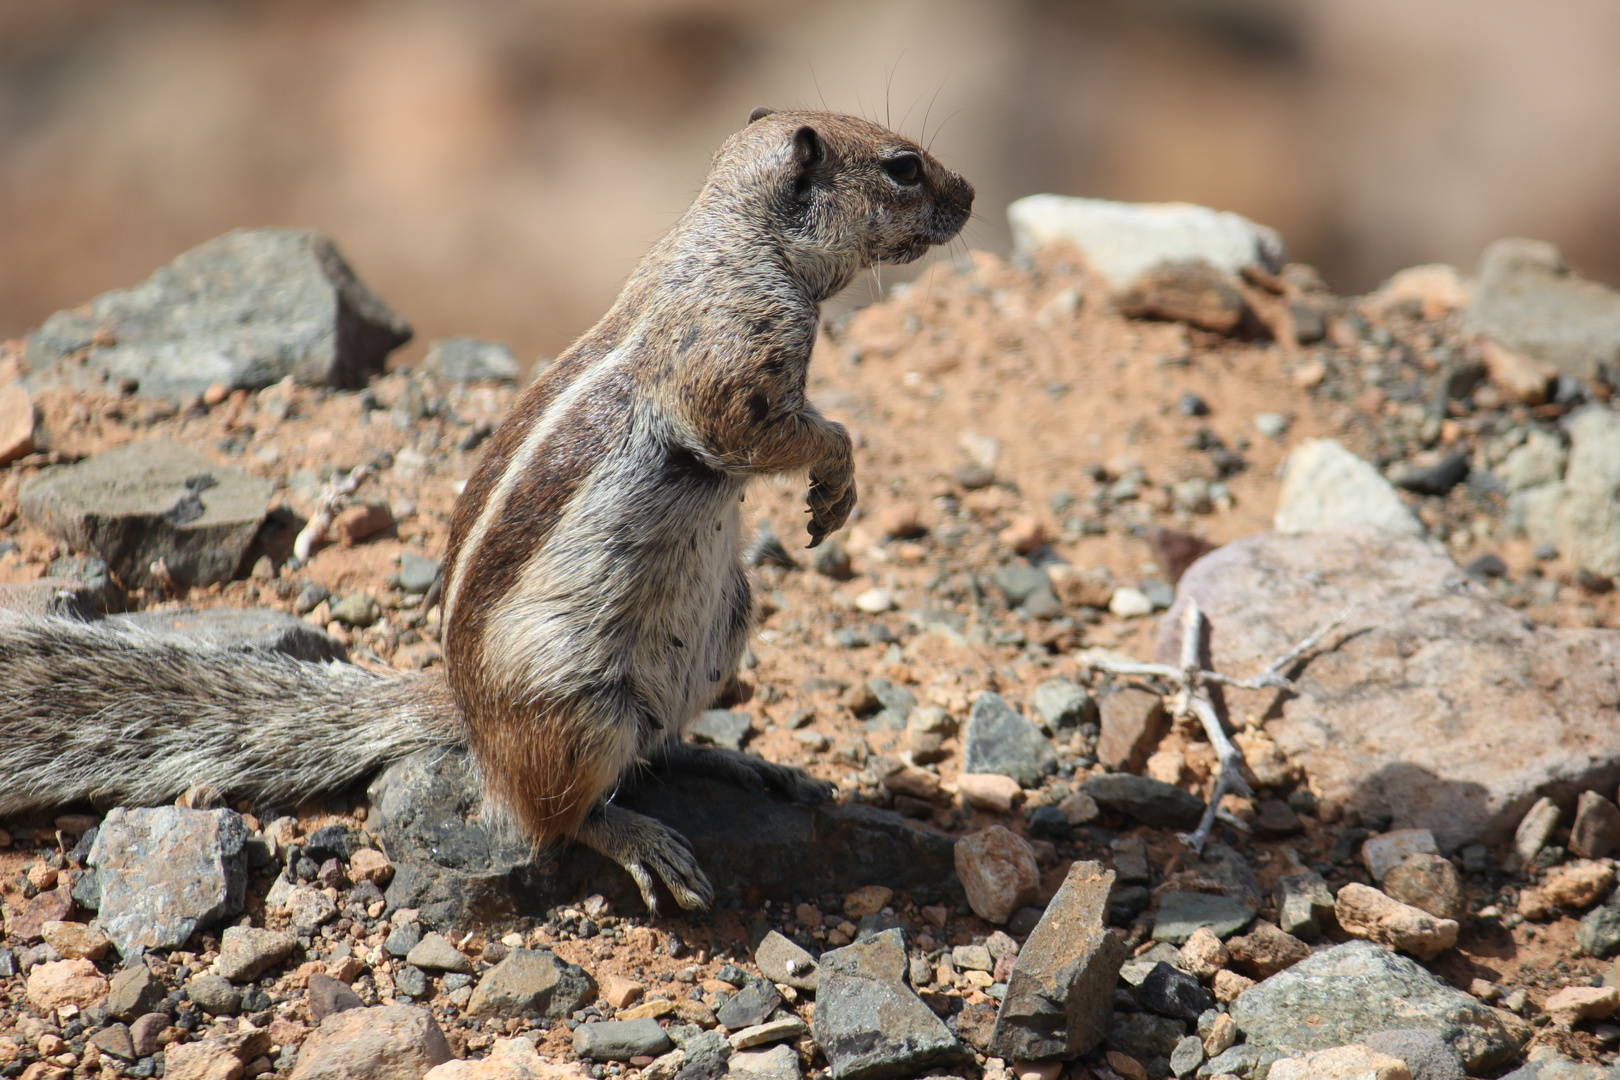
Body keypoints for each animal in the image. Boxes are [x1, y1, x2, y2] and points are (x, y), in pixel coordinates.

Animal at [0, 107, 972, 913]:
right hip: (581, 711)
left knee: (658, 745)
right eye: (903, 167)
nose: (967, 194)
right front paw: (837, 469)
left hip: (724, 627)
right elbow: (762, 430)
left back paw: (737, 760)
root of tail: (468, 719)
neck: (732, 238)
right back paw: (640, 838)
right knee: (557, 813)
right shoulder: (732, 366)